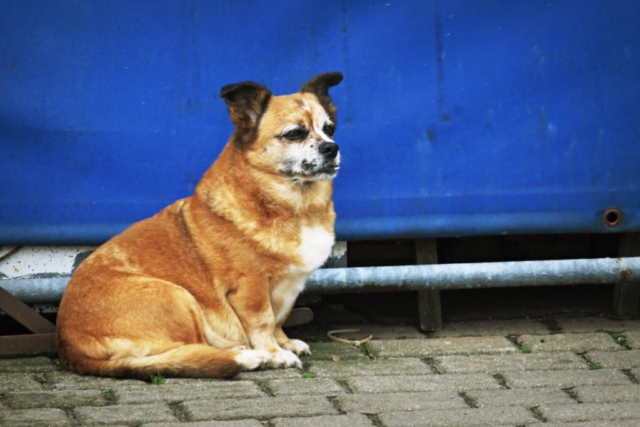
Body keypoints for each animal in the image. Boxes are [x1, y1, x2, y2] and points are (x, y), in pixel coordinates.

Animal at [56, 72, 344, 380]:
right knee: (189, 350)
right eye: (294, 133)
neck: (296, 205)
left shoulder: (289, 288)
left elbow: (279, 319)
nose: (332, 147)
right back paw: (249, 355)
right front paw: (276, 353)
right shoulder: (250, 289)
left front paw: (284, 343)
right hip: (176, 296)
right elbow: (265, 321)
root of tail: (69, 350)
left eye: (329, 129)